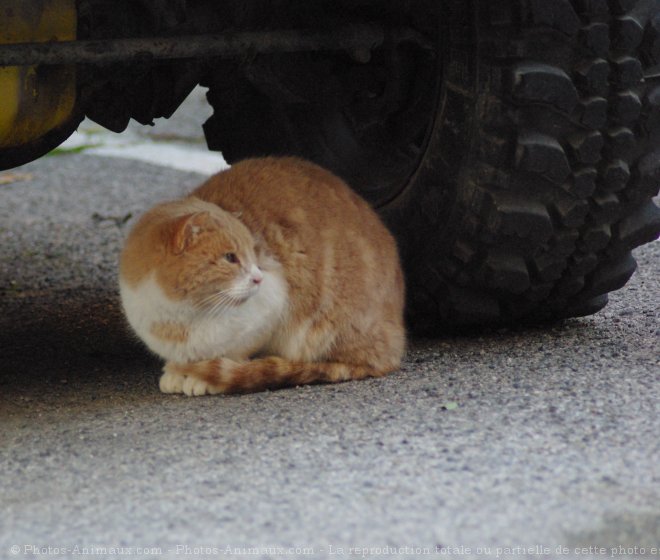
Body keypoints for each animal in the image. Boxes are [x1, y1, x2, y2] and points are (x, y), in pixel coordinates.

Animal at [120, 155, 404, 396]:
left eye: (254, 254)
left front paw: (199, 376)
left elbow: (233, 354)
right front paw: (177, 371)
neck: (180, 317)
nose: (259, 278)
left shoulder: (271, 308)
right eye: (230, 257)